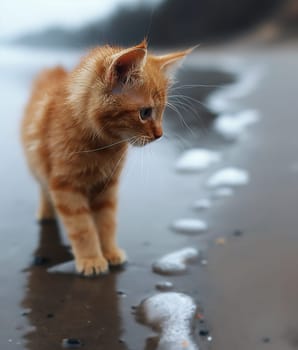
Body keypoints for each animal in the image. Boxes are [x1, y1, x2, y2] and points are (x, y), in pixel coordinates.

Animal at [22, 41, 192, 276]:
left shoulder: (107, 186)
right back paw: (46, 212)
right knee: (43, 189)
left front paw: (110, 252)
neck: (102, 148)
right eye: (145, 113)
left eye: (161, 112)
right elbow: (82, 228)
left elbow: (106, 223)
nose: (159, 134)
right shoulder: (66, 187)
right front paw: (91, 258)